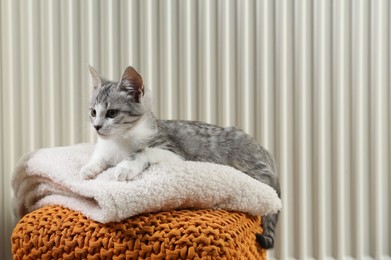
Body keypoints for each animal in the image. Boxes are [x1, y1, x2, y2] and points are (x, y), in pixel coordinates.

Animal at [80, 65, 282, 248]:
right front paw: (88, 168)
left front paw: (124, 167)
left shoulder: (173, 152)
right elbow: (100, 157)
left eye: (112, 113)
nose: (96, 127)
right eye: (93, 112)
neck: (120, 140)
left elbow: (144, 151)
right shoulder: (106, 149)